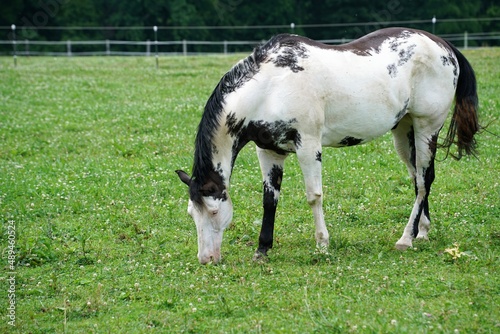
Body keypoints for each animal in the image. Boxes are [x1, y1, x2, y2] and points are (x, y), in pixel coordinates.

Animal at [176, 27, 480, 264]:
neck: (271, 86)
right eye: (192, 213)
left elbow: (314, 196)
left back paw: (406, 239)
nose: (206, 259)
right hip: (405, 133)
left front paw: (322, 243)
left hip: (427, 129)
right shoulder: (269, 151)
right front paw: (262, 250)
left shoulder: (308, 145)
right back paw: (422, 231)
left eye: (214, 211)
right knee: (418, 178)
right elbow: (269, 200)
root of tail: (442, 45)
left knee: (424, 180)